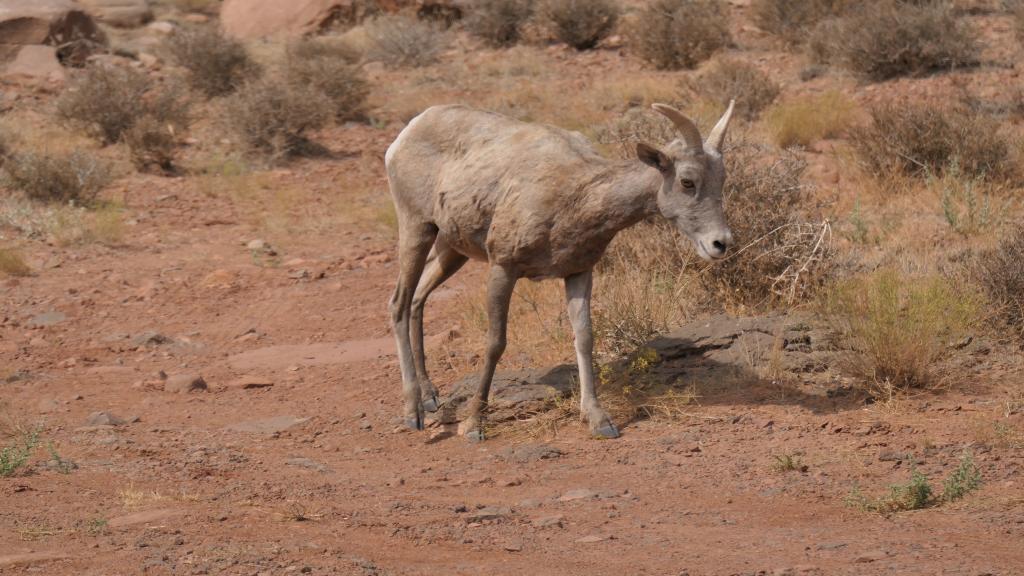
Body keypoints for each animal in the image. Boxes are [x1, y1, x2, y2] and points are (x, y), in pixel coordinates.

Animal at [385, 101, 737, 438]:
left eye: (722, 180)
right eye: (687, 181)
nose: (720, 243)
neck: (575, 195)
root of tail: (408, 132)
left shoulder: (578, 273)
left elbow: (584, 338)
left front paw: (598, 420)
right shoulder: (503, 268)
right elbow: (495, 343)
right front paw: (473, 424)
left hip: (451, 249)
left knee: (417, 300)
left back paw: (430, 397)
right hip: (417, 229)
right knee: (399, 303)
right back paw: (413, 413)